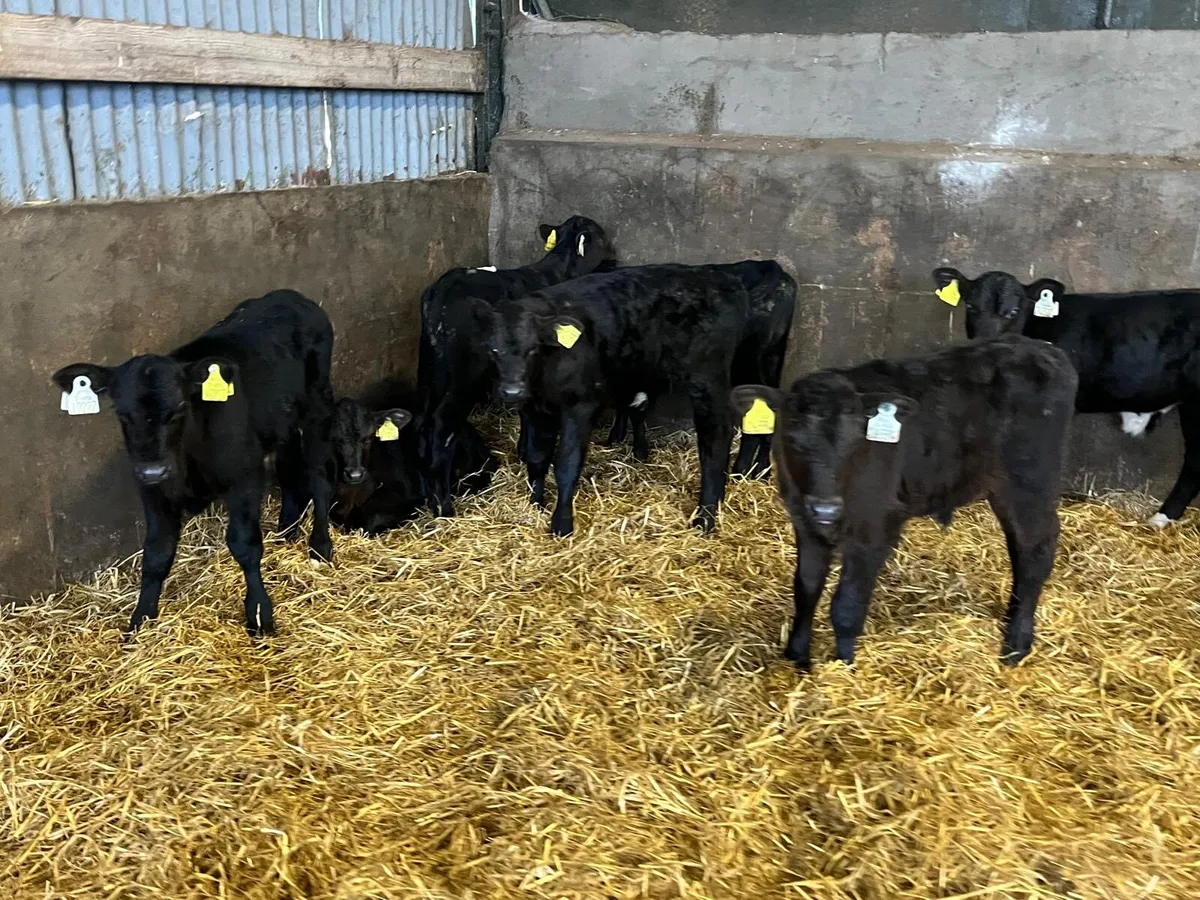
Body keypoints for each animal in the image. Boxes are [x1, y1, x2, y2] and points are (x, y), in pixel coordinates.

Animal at [52, 290, 336, 638]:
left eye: (178, 408)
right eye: (122, 413)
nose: (153, 470)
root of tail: (291, 296)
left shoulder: (244, 477)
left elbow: (244, 544)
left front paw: (259, 615)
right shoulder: (154, 491)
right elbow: (156, 554)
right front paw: (140, 622)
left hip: (317, 408)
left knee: (318, 478)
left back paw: (320, 545)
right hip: (281, 423)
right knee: (291, 470)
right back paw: (286, 531)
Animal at [418, 215, 616, 517]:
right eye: (602, 236)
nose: (614, 256)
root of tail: (441, 293)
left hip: (430, 372)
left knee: (424, 421)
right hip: (465, 377)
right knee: (442, 424)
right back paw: (444, 506)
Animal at [484, 264, 753, 536]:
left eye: (532, 349)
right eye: (493, 350)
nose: (512, 391)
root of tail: (717, 276)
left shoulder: (580, 405)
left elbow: (566, 464)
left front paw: (562, 523)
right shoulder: (535, 409)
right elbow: (537, 459)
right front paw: (535, 506)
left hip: (707, 377)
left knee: (716, 436)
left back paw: (705, 517)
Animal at [731, 334, 1078, 669]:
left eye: (855, 439)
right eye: (792, 440)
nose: (826, 508)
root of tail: (1041, 348)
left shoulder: (875, 528)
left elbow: (847, 603)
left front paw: (844, 664)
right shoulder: (804, 522)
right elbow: (806, 588)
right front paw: (798, 655)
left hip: (1030, 483)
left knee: (1036, 551)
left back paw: (1016, 644)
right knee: (1020, 549)